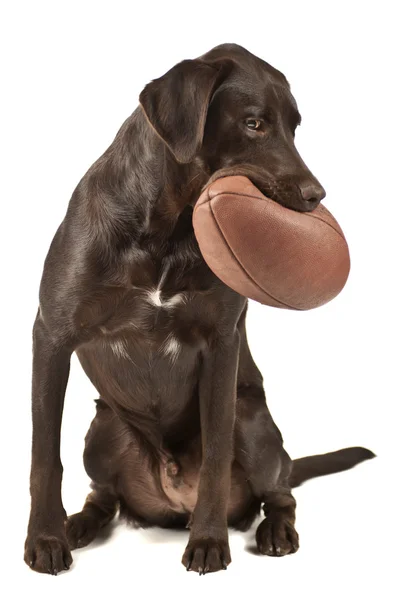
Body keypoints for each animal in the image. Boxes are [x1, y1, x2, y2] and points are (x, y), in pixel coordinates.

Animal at [24, 44, 376, 576]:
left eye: (295, 127)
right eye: (253, 124)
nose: (317, 196)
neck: (166, 225)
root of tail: (172, 499)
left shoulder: (220, 343)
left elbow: (214, 455)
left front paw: (209, 540)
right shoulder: (52, 335)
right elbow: (45, 455)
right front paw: (45, 537)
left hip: (253, 423)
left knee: (281, 493)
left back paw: (274, 531)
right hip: (104, 429)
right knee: (103, 496)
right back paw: (78, 524)